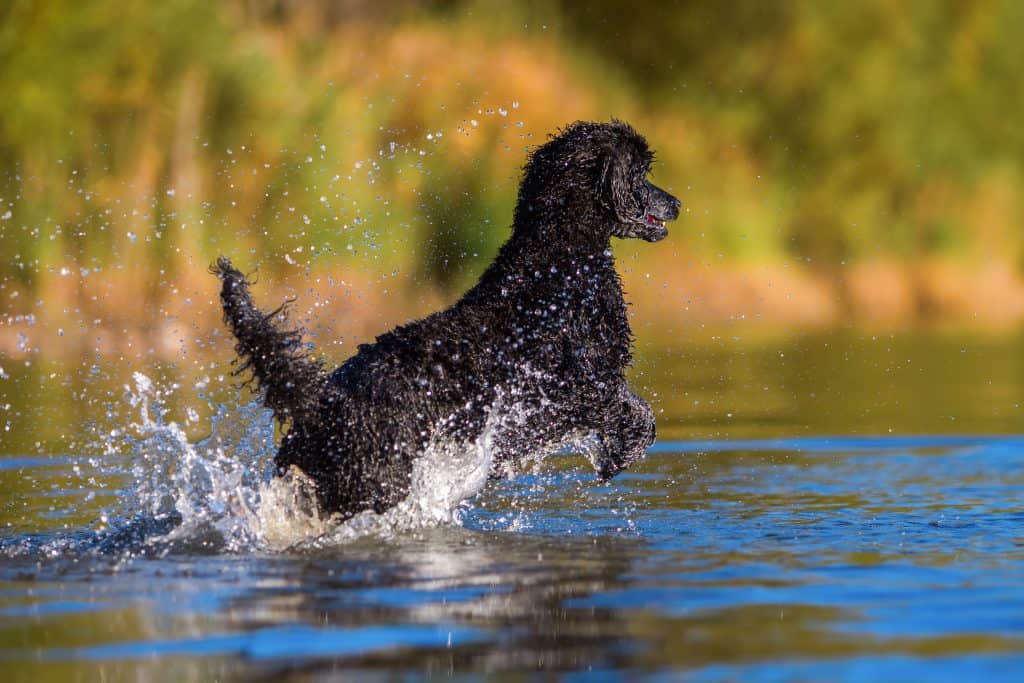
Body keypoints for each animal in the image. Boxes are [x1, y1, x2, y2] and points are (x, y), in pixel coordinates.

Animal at [214, 121, 679, 518]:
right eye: (640, 173)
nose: (676, 203)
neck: (558, 263)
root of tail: (320, 408)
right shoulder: (577, 386)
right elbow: (638, 415)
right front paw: (617, 455)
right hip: (377, 484)